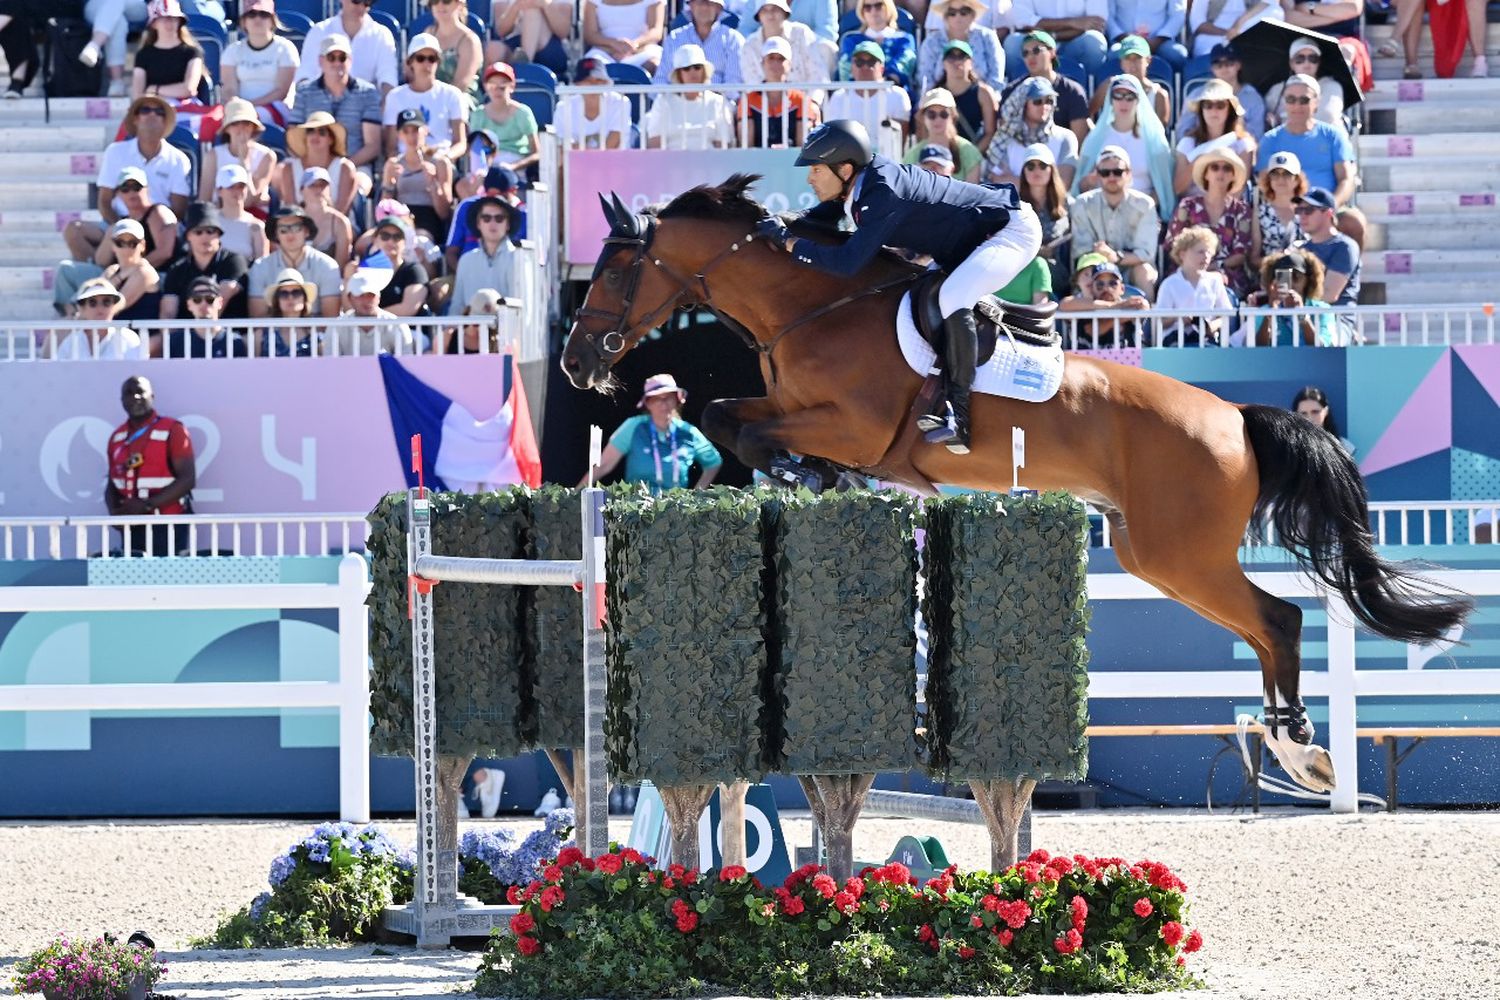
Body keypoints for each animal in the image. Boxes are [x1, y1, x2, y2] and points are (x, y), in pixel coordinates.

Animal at [558, 173, 1470, 797]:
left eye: (613, 272)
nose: (572, 362)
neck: (812, 310)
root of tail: (1236, 417)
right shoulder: (788, 406)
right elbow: (725, 413)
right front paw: (807, 475)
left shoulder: (853, 425)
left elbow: (737, 425)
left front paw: (804, 471)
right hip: (1153, 556)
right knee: (1266, 626)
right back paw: (1296, 749)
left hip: (1180, 551)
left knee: (1278, 619)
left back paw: (1301, 750)